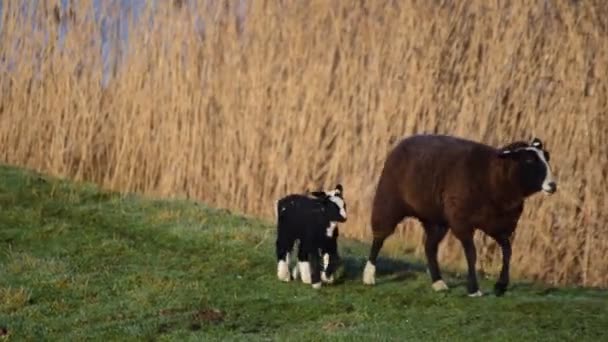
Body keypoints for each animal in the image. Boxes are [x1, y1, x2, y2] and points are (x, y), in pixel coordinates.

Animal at [360, 134, 556, 296]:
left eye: (547, 157)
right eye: (529, 160)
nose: (553, 185)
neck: (493, 176)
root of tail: (404, 141)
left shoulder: (498, 225)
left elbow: (507, 251)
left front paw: (500, 286)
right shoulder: (462, 221)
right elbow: (471, 254)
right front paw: (474, 289)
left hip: (436, 218)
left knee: (430, 247)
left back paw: (438, 283)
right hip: (389, 201)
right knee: (379, 238)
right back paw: (369, 276)